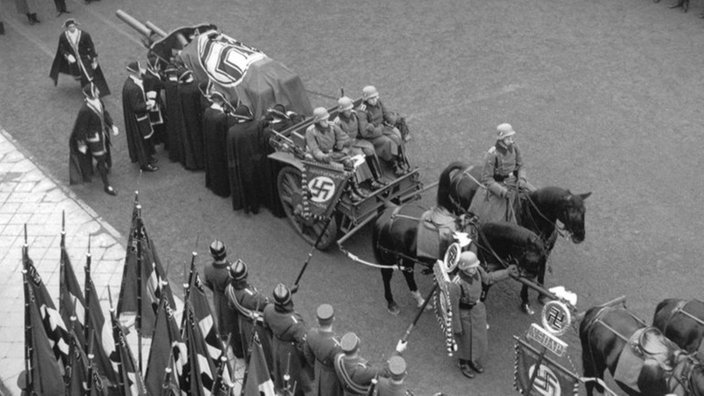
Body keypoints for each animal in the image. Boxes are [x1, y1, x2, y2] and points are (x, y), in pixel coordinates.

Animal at [446, 161, 588, 312]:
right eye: (569, 211)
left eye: (584, 211)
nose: (580, 236)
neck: (531, 215)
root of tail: (463, 171)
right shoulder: (526, 256)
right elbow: (527, 278)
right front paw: (525, 300)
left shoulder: (544, 253)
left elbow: (541, 273)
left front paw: (542, 295)